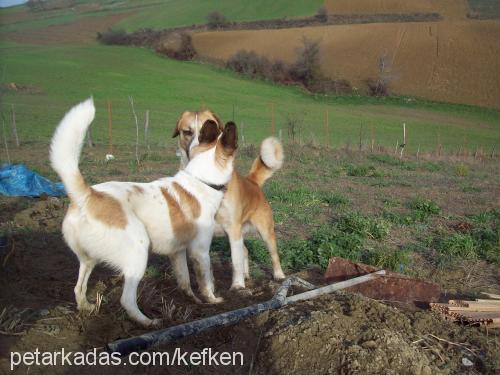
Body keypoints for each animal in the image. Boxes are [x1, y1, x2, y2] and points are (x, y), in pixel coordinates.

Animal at [49, 98, 237, 328]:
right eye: (187, 132)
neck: (200, 179)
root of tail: (87, 195)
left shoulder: (177, 252)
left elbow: (184, 280)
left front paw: (192, 300)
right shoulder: (200, 251)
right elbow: (206, 279)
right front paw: (212, 300)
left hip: (88, 260)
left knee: (79, 287)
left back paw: (87, 307)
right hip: (138, 253)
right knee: (127, 300)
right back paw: (148, 322)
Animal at [173, 110, 284, 290]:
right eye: (187, 132)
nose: (195, 147)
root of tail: (252, 181)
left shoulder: (233, 231)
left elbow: (235, 262)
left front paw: (237, 286)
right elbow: (206, 266)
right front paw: (209, 287)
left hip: (265, 232)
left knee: (273, 255)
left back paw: (279, 276)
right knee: (244, 251)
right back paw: (246, 275)